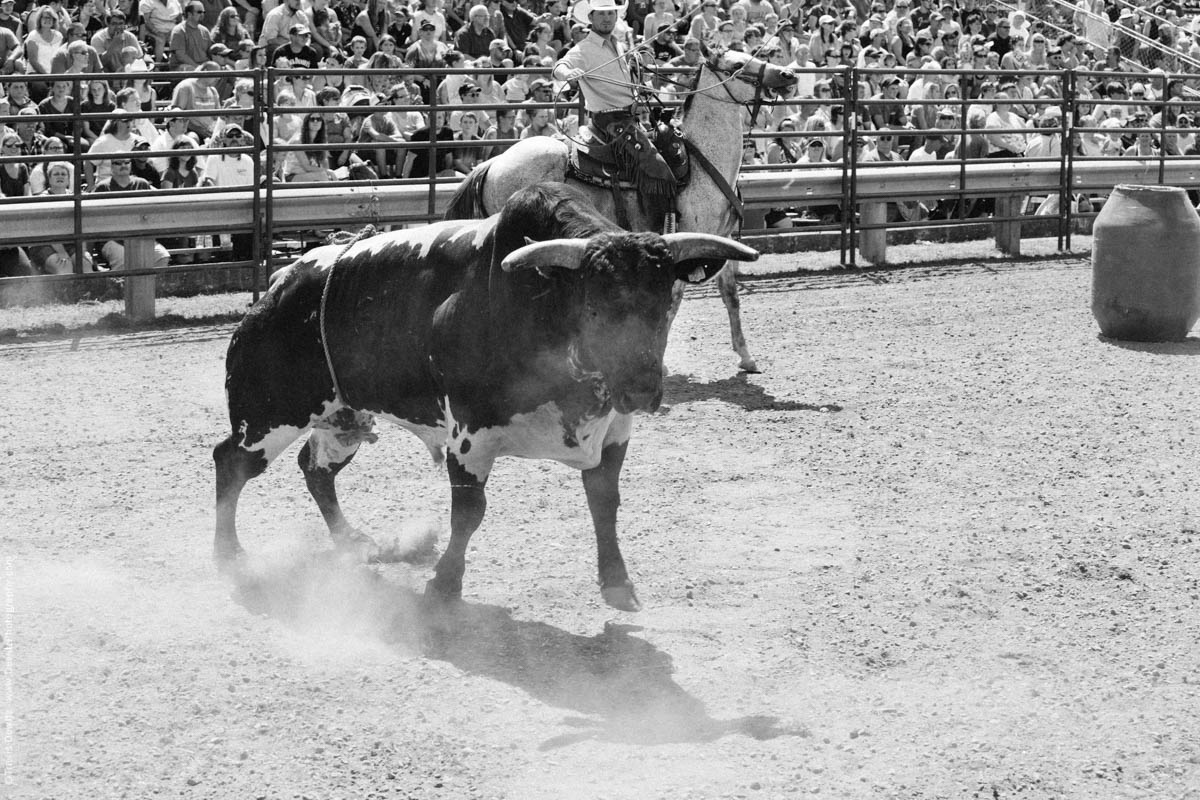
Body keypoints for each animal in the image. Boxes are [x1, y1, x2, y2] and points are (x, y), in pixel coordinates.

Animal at [213, 184, 758, 614]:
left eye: (665, 300)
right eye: (595, 306)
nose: (642, 389)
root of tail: (280, 286)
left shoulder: (614, 433)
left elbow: (605, 503)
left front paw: (617, 580)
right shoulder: (470, 435)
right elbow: (469, 512)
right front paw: (444, 585)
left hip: (342, 415)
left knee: (316, 470)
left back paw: (355, 542)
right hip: (268, 413)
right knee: (231, 463)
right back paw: (229, 555)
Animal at [446, 48, 801, 374]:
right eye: (737, 64)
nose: (788, 75)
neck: (699, 162)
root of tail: (492, 163)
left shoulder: (720, 241)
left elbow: (730, 296)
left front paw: (746, 357)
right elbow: (672, 302)